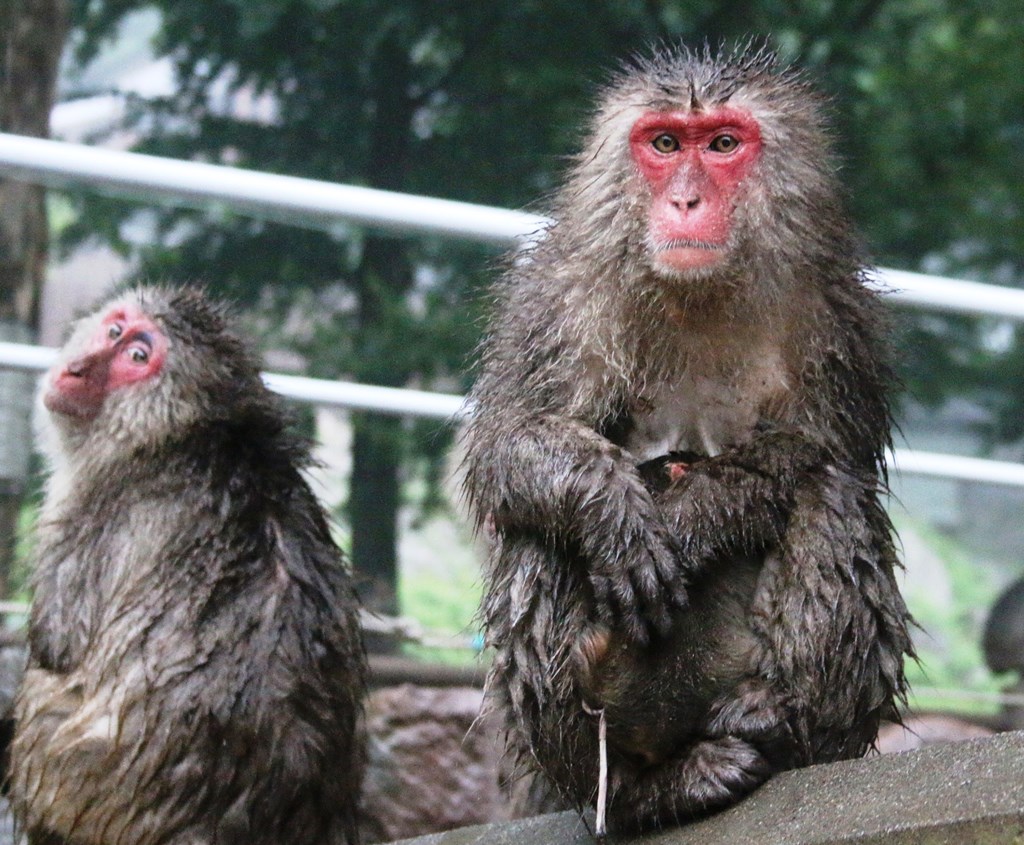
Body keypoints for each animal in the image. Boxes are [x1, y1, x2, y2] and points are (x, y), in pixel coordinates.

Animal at [8, 284, 368, 843]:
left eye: (137, 357)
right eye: (115, 329)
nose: (77, 369)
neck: (175, 434)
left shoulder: (99, 507)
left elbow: (57, 644)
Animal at [462, 44, 913, 831]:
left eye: (724, 144)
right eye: (666, 144)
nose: (687, 202)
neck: (695, 294)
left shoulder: (836, 317)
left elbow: (815, 451)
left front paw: (694, 517)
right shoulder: (552, 301)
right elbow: (504, 445)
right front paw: (614, 515)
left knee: (831, 493)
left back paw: (781, 725)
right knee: (535, 535)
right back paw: (648, 791)